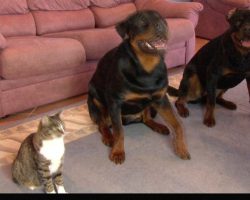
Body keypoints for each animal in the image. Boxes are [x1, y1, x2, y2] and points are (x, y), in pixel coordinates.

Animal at [87, 9, 190, 164]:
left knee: (146, 118)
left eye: (162, 19)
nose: (161, 25)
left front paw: (181, 147)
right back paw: (108, 137)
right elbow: (119, 131)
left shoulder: (161, 99)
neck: (147, 68)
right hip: (96, 100)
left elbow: (178, 125)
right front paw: (117, 151)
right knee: (102, 124)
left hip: (150, 105)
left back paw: (158, 126)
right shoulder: (115, 102)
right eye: (141, 21)